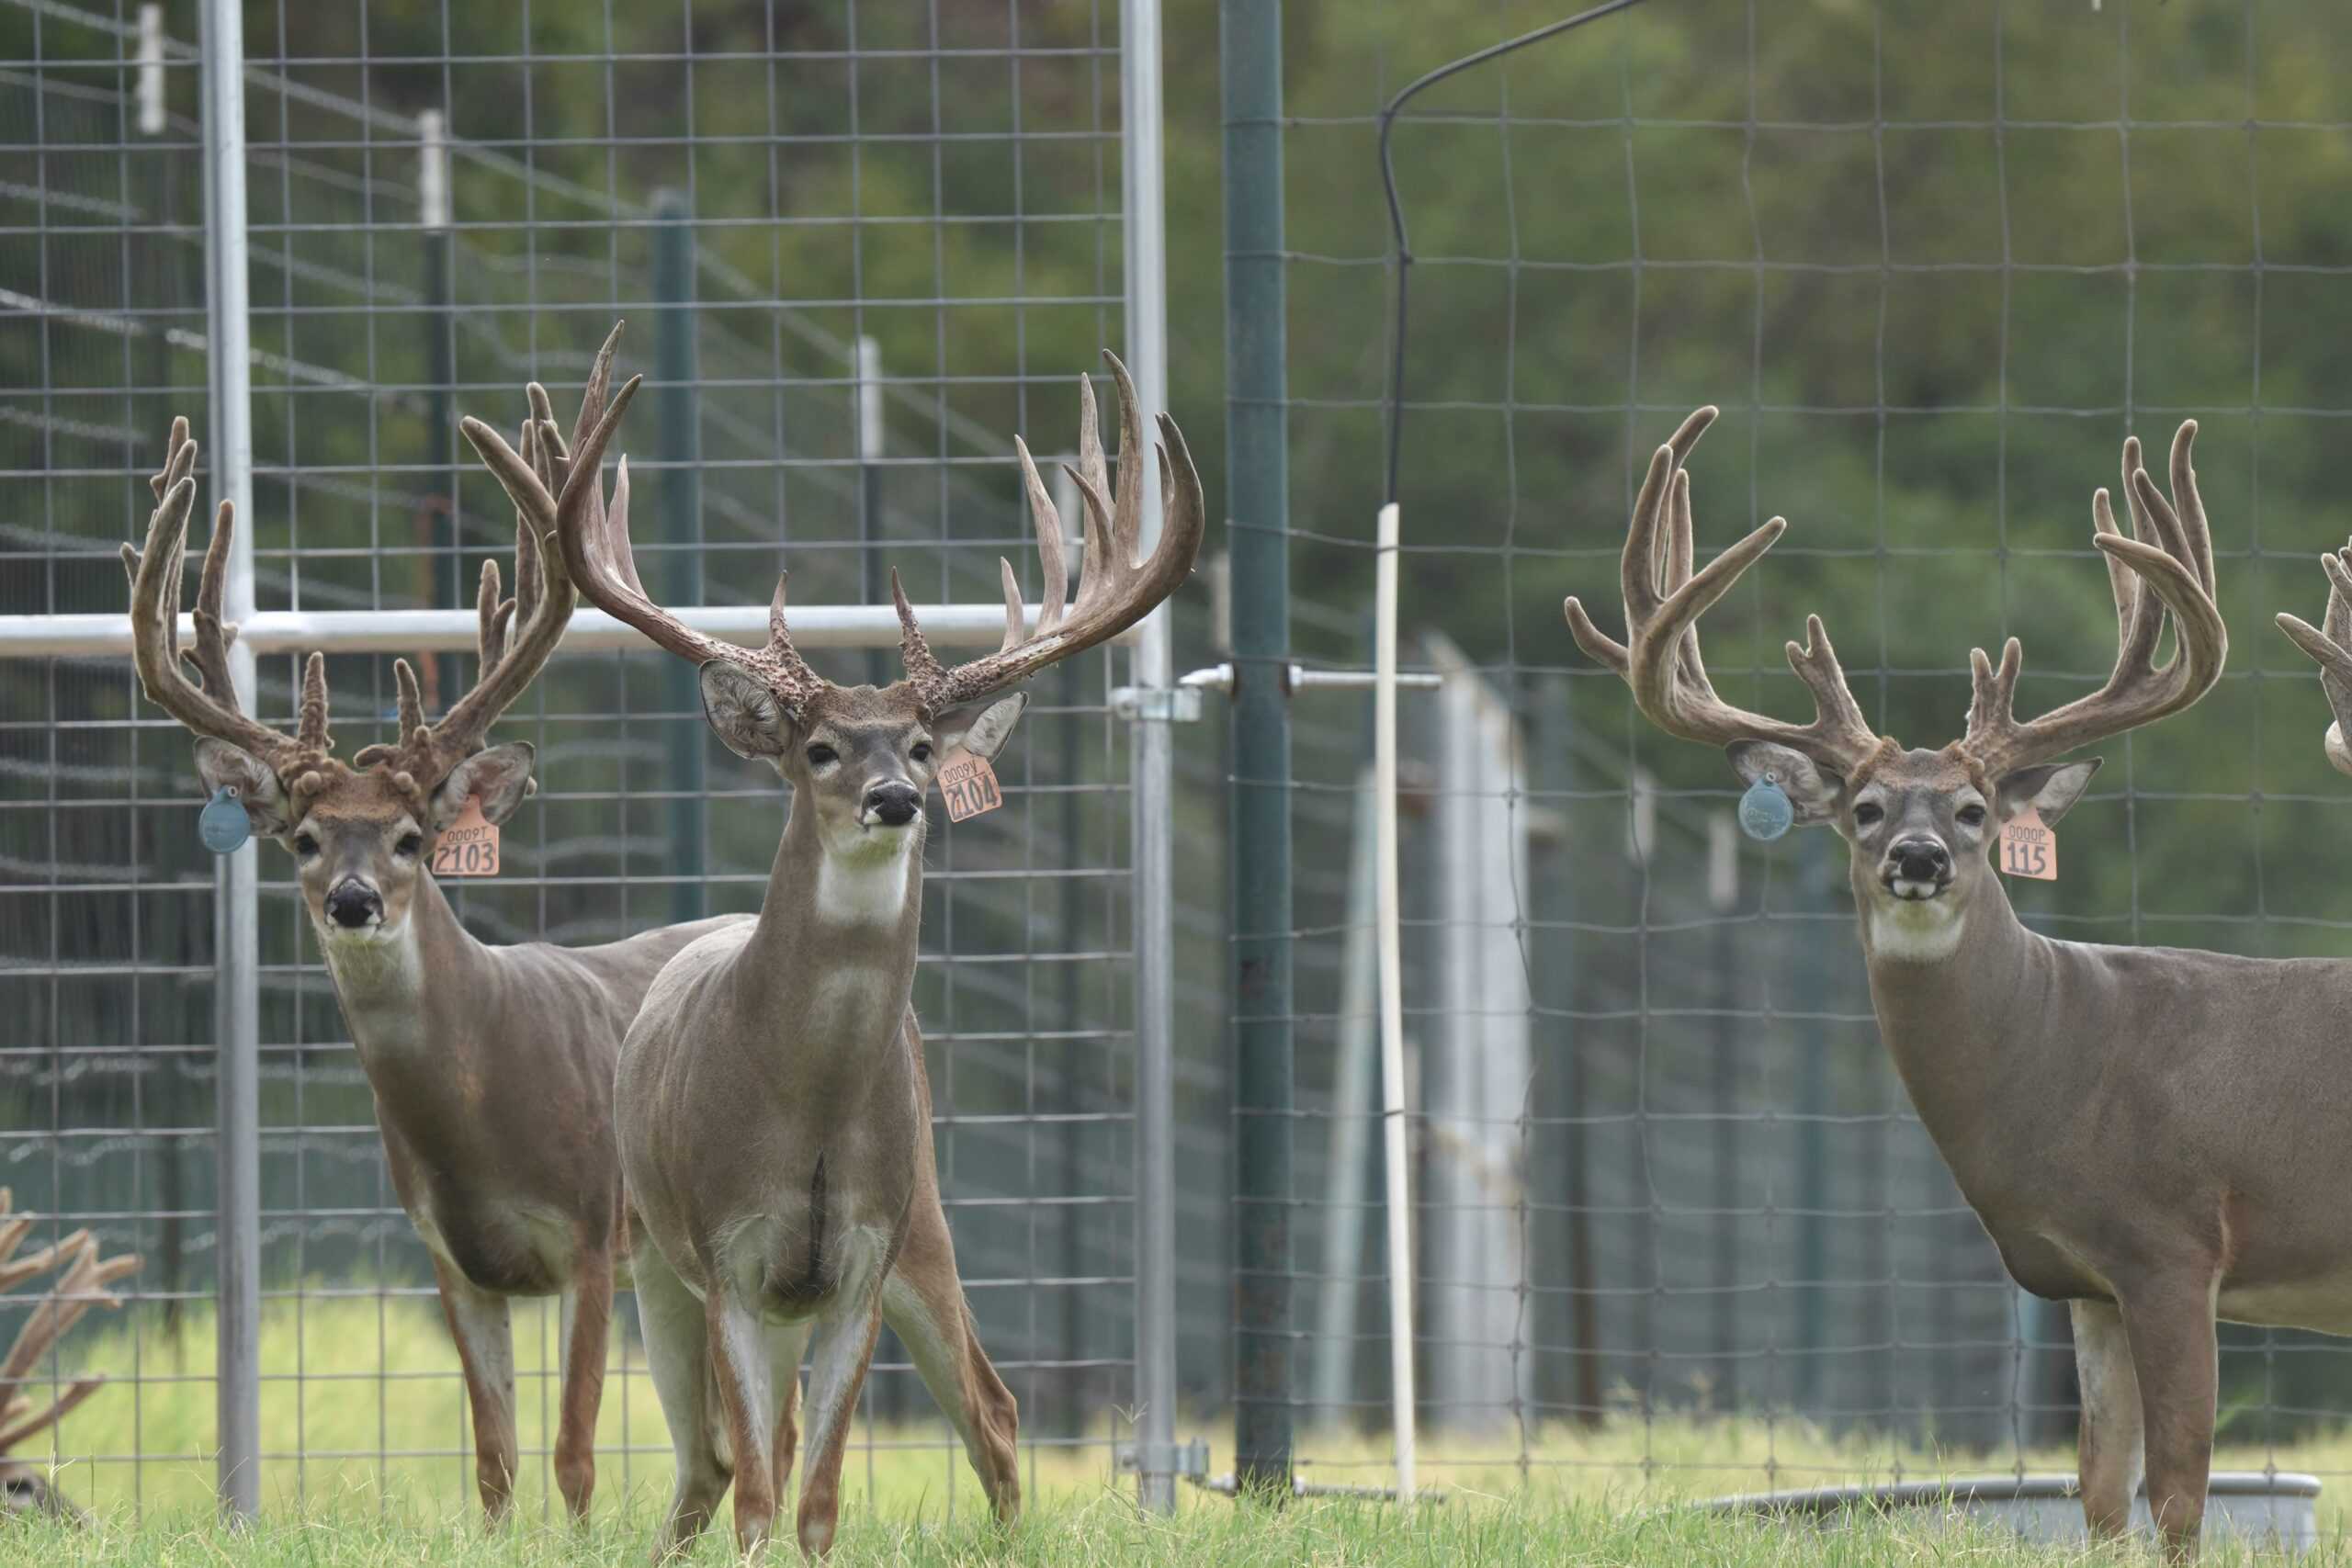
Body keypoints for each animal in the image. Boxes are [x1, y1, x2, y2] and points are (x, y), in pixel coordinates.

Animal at [122, 328, 749, 1523]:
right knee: (719, 1449)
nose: (353, 901)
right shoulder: (448, 1256)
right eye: (302, 840)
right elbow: (495, 1460)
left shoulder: (590, 1230)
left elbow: (574, 1454)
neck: (479, 1109)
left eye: (413, 837)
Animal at [462, 346, 1203, 1557]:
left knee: (991, 1410)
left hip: (926, 1224)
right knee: (708, 1460)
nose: (897, 798)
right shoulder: (730, 1253)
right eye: (818, 748)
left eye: (919, 745)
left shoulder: (861, 1250)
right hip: (653, 1257)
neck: (803, 1111)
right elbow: (763, 1493)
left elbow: (818, 1498)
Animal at [1557, 406, 2352, 1560]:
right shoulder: (2084, 1280)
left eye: (1975, 811)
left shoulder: (2174, 1242)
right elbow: (2099, 1496)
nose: (1921, 858)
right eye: (1864, 808)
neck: (2067, 1055)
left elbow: (2178, 1497)